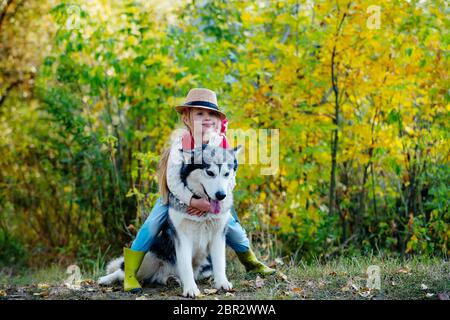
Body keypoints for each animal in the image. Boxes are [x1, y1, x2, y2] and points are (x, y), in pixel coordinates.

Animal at [97, 145, 241, 298]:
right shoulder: (182, 237)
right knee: (124, 270)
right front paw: (190, 289)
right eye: (210, 173)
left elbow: (219, 262)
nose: (221, 195)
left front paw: (222, 283)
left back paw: (171, 279)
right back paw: (107, 279)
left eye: (226, 174)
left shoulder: (218, 235)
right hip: (150, 255)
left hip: (204, 268)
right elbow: (186, 266)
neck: (203, 214)